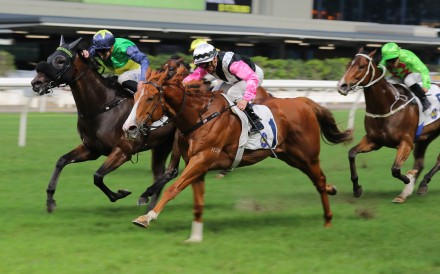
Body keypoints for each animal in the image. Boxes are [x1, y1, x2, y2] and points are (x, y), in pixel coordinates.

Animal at [29, 36, 177, 212]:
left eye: (60, 60)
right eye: (49, 57)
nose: (36, 83)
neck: (102, 106)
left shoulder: (123, 151)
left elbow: (97, 176)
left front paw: (120, 193)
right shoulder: (91, 149)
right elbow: (61, 161)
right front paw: (50, 199)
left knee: (171, 172)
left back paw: (146, 197)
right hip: (161, 145)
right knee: (160, 173)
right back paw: (150, 207)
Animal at [122, 67, 352, 242]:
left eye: (150, 98)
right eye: (134, 96)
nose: (129, 128)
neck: (199, 116)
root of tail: (304, 102)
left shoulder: (202, 159)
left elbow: (173, 189)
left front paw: (146, 217)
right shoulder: (198, 165)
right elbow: (198, 202)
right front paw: (195, 237)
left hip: (308, 155)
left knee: (319, 180)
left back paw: (328, 219)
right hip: (291, 156)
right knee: (318, 180)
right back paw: (332, 190)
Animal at [336, 49, 440, 202]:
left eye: (361, 66)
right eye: (349, 64)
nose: (341, 86)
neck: (386, 105)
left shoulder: (406, 142)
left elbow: (395, 169)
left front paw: (408, 178)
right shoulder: (374, 141)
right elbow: (351, 154)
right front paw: (356, 188)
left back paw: (421, 183)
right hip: (426, 137)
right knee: (420, 163)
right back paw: (408, 191)